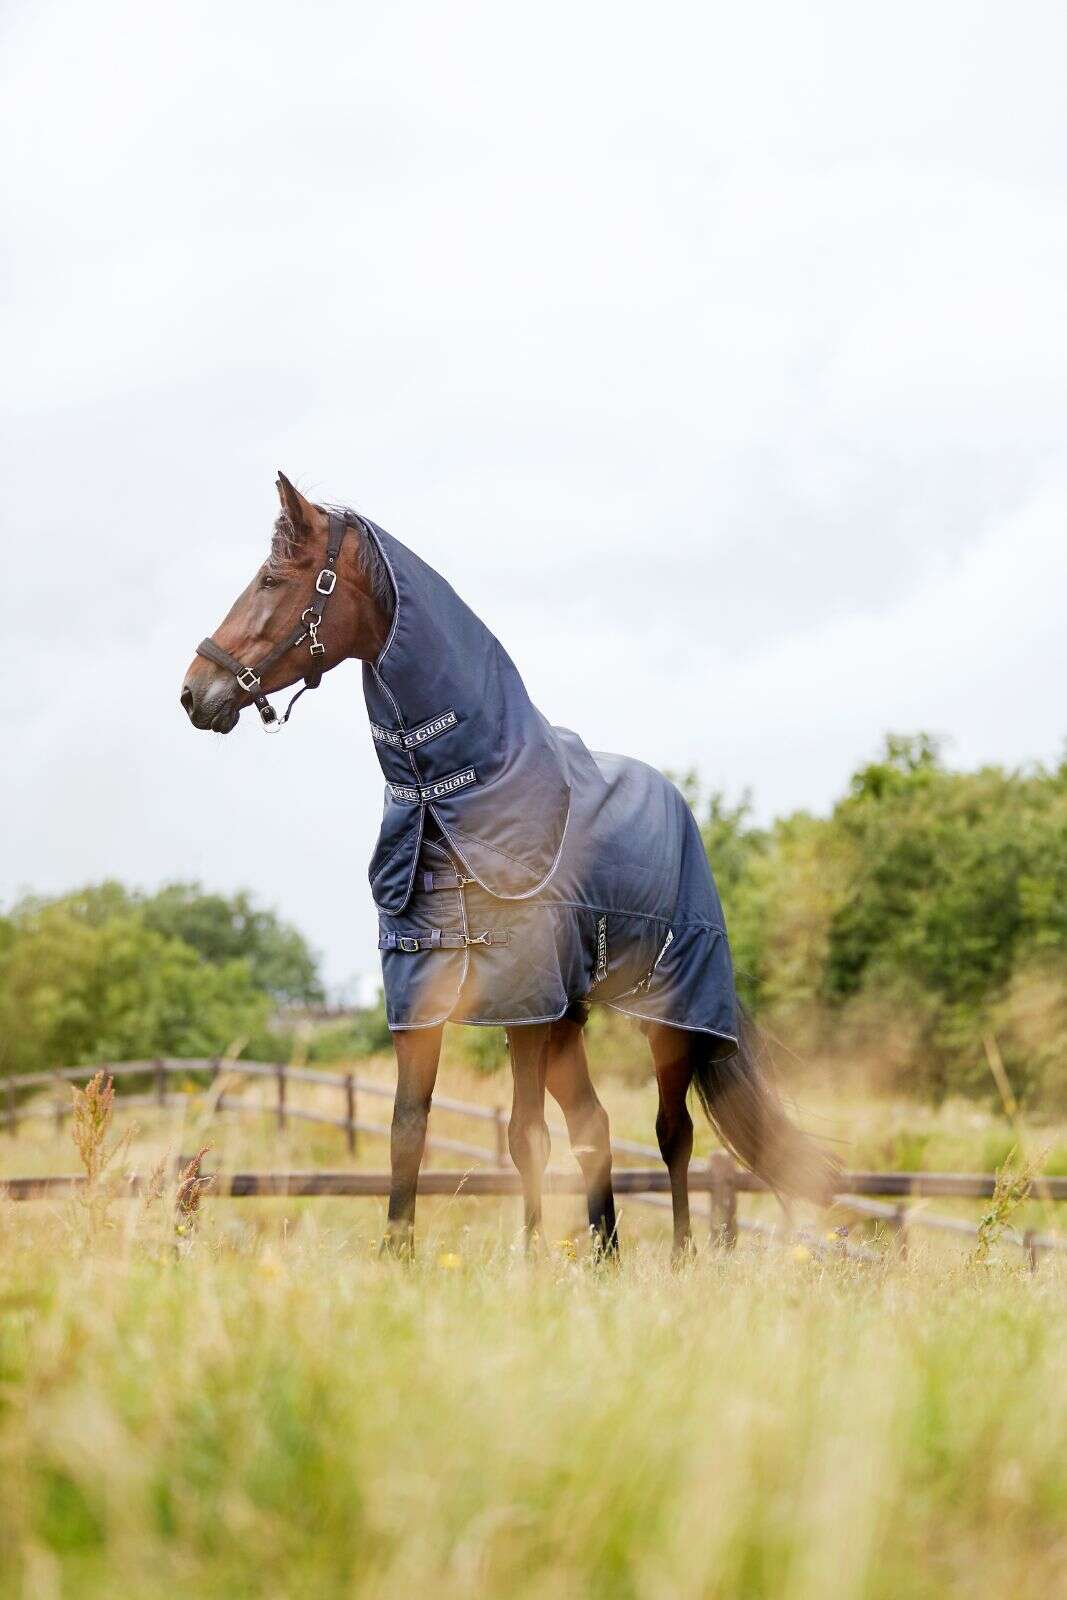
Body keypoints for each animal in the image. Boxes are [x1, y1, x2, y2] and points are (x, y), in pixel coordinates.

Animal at [181, 473, 837, 1256]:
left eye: (273, 581)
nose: (194, 692)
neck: (452, 797)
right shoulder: (426, 999)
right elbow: (408, 1130)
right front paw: (399, 1256)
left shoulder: (521, 1006)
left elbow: (525, 1138)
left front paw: (528, 1266)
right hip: (569, 1018)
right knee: (594, 1125)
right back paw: (604, 1257)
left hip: (666, 1015)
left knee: (670, 1132)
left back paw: (678, 1258)